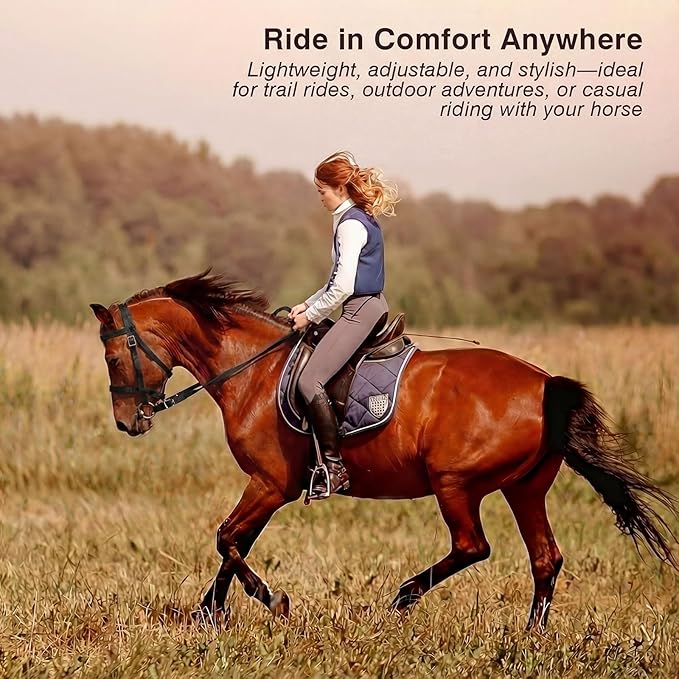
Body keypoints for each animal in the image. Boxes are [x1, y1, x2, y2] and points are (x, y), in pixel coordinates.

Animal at [90, 271, 678, 631]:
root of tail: (543, 383)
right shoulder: (271, 487)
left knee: (473, 546)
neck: (251, 369)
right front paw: (208, 614)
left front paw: (271, 603)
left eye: (115, 357)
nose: (127, 423)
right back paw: (530, 637)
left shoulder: (270, 483)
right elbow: (235, 543)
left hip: (454, 484)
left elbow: (228, 540)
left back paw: (402, 597)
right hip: (525, 489)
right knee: (544, 559)